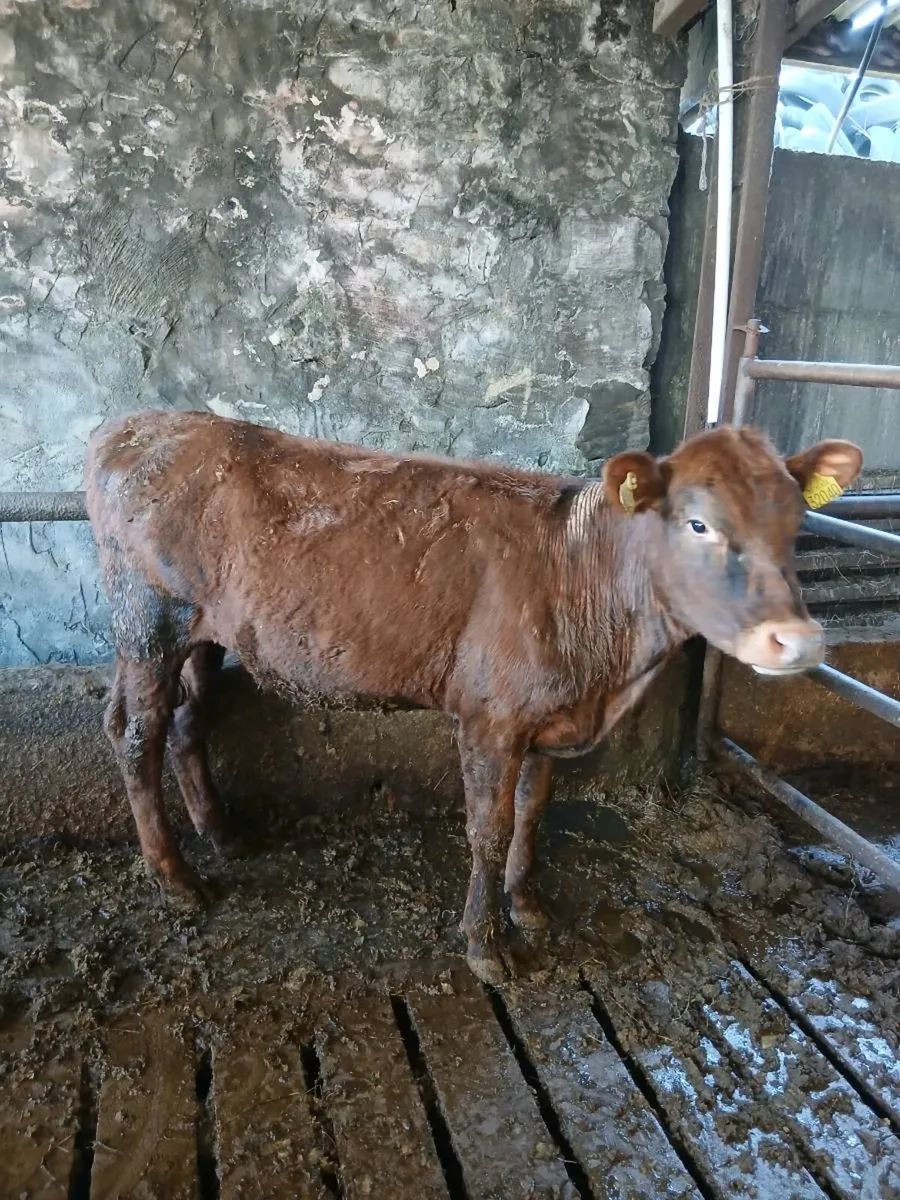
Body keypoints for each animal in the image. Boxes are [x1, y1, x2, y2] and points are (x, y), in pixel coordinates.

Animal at [85, 411, 862, 983]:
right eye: (699, 523)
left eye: (796, 524)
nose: (797, 641)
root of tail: (136, 425)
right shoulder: (491, 718)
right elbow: (488, 826)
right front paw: (485, 942)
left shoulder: (551, 714)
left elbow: (533, 809)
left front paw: (529, 903)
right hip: (148, 620)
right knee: (134, 732)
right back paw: (175, 876)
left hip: (203, 635)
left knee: (187, 722)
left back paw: (223, 834)